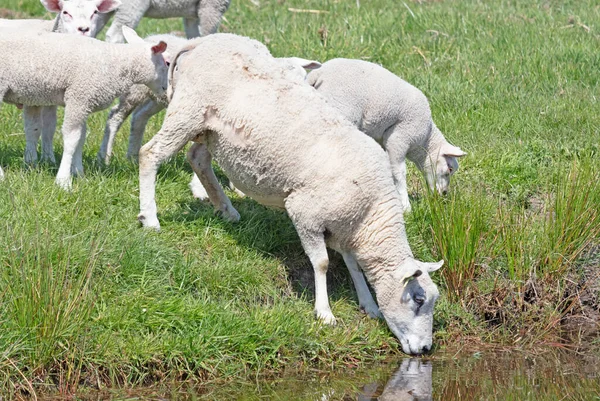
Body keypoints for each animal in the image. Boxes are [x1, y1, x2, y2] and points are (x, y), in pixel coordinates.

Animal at [0, 0, 122, 166]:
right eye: (65, 12)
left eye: (95, 12)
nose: (83, 29)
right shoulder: (31, 95)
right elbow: (33, 128)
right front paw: (31, 162)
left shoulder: (50, 98)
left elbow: (49, 128)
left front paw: (49, 159)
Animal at [1, 27, 169, 188]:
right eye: (167, 63)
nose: (167, 89)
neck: (117, 64)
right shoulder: (78, 97)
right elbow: (72, 138)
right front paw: (63, 181)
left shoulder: (84, 104)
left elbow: (81, 138)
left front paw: (79, 174)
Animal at [96, 0, 232, 43]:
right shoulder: (211, 7)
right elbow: (208, 35)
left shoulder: (192, 15)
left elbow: (193, 36)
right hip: (131, 6)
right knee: (114, 35)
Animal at [138, 33, 442, 354]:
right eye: (419, 300)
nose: (425, 349)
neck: (370, 213)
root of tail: (202, 41)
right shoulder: (305, 212)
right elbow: (321, 263)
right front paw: (325, 313)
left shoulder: (345, 226)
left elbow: (354, 265)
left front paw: (368, 304)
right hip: (188, 111)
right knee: (150, 154)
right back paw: (150, 217)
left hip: (211, 130)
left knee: (197, 158)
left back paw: (226, 209)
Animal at [308, 58, 466, 212]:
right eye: (449, 169)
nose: (444, 194)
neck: (424, 141)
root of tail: (318, 73)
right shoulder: (400, 137)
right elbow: (398, 172)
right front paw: (405, 206)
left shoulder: (381, 139)